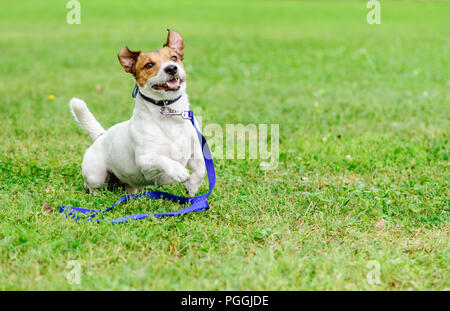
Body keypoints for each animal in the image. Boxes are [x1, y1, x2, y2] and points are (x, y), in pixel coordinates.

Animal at [69, 28, 207, 195]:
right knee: (91, 186)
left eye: (174, 58)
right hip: (95, 174)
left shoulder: (195, 153)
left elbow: (202, 168)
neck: (168, 114)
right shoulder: (144, 161)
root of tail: (101, 136)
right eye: (149, 65)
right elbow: (162, 161)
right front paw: (177, 171)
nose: (171, 68)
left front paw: (192, 186)